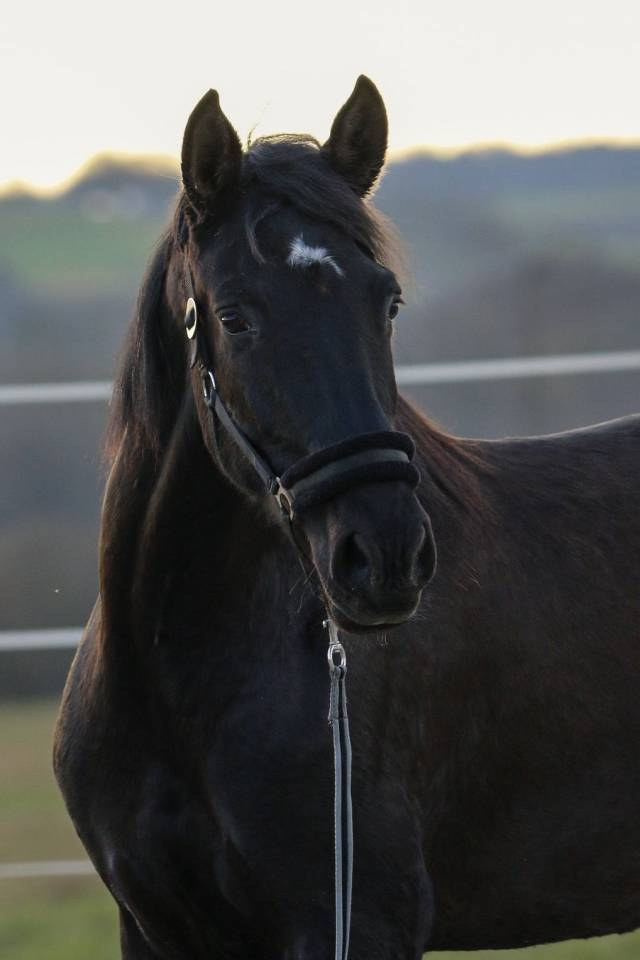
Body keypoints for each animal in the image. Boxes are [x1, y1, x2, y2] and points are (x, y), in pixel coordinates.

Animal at [54, 76, 640, 959]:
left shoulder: (357, 919)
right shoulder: (154, 929)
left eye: (386, 303)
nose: (387, 555)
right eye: (234, 317)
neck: (170, 680)